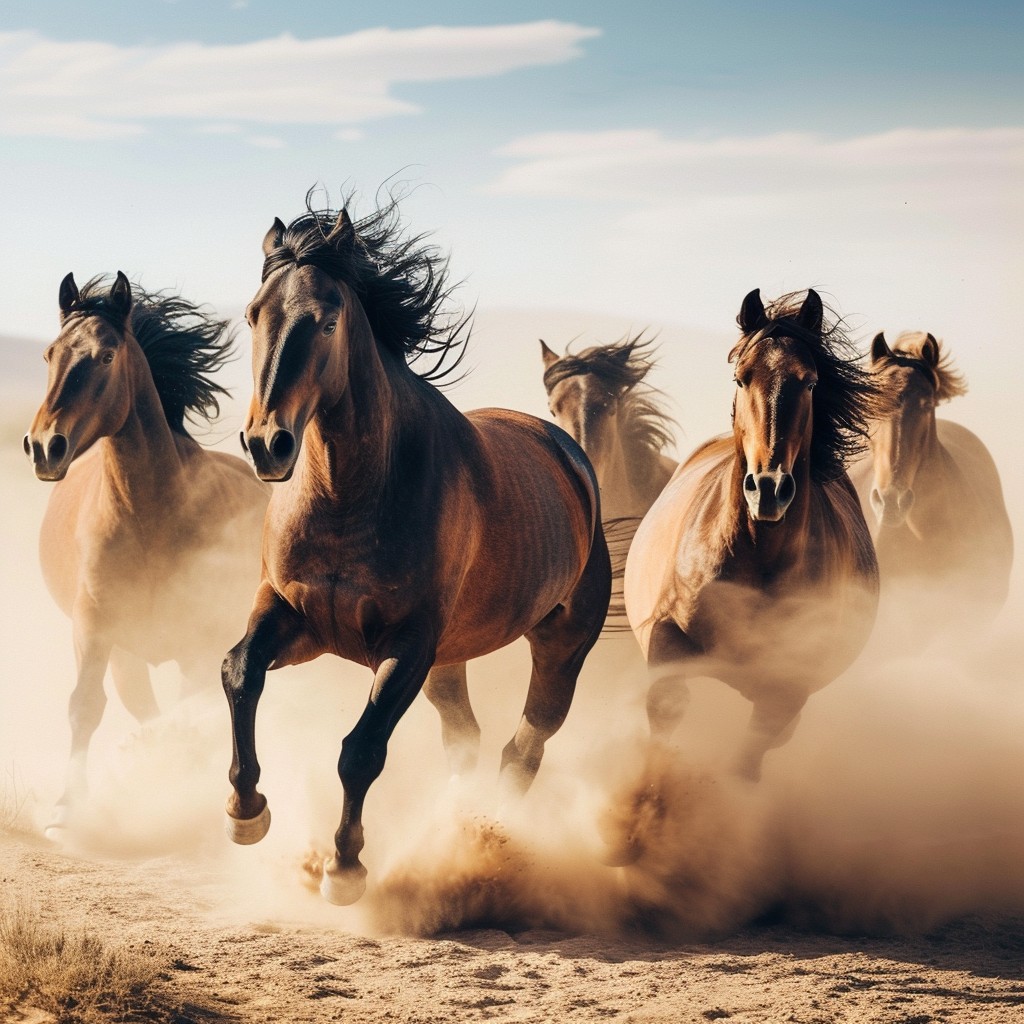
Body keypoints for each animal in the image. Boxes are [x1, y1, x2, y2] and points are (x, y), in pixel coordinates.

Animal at [24, 272, 269, 831]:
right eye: (50, 353)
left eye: (107, 354)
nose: (45, 447)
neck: (151, 517)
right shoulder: (94, 627)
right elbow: (84, 706)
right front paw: (65, 809)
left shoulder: (197, 643)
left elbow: (191, 712)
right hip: (127, 655)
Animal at [222, 197, 611, 905]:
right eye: (253, 313)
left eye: (328, 320)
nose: (267, 443)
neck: (350, 495)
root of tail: (569, 454)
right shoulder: (296, 618)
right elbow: (240, 672)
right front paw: (247, 810)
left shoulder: (407, 645)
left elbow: (361, 750)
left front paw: (344, 867)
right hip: (448, 664)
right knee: (467, 741)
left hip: (558, 648)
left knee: (525, 746)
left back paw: (488, 839)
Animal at [624, 289, 881, 784]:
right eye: (741, 378)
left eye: (810, 382)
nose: (768, 489)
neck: (758, 555)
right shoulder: (666, 642)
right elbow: (666, 714)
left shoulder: (785, 690)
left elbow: (746, 762)